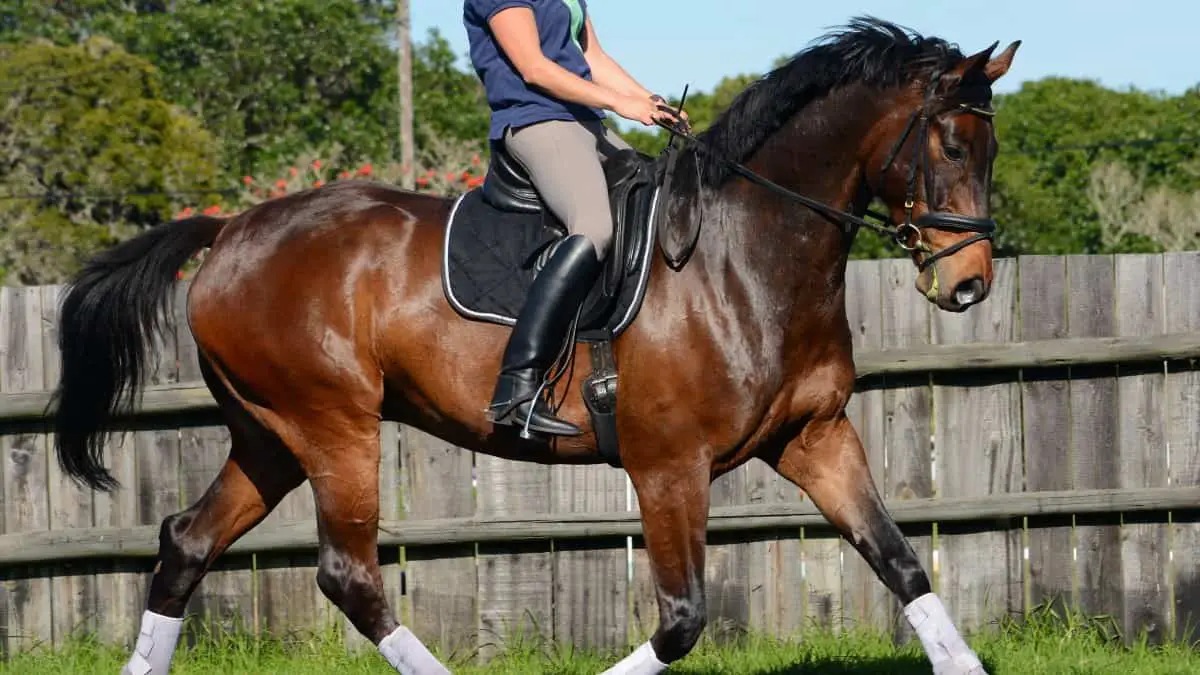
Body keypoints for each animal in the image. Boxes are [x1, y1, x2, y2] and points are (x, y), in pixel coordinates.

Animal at [50, 17, 1019, 675]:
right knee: (348, 573)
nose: (969, 284)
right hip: (331, 426)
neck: (744, 255)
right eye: (948, 142)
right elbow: (681, 619)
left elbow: (900, 561)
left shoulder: (814, 436)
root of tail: (233, 229)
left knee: (186, 540)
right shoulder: (668, 467)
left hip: (269, 435)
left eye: (991, 148)